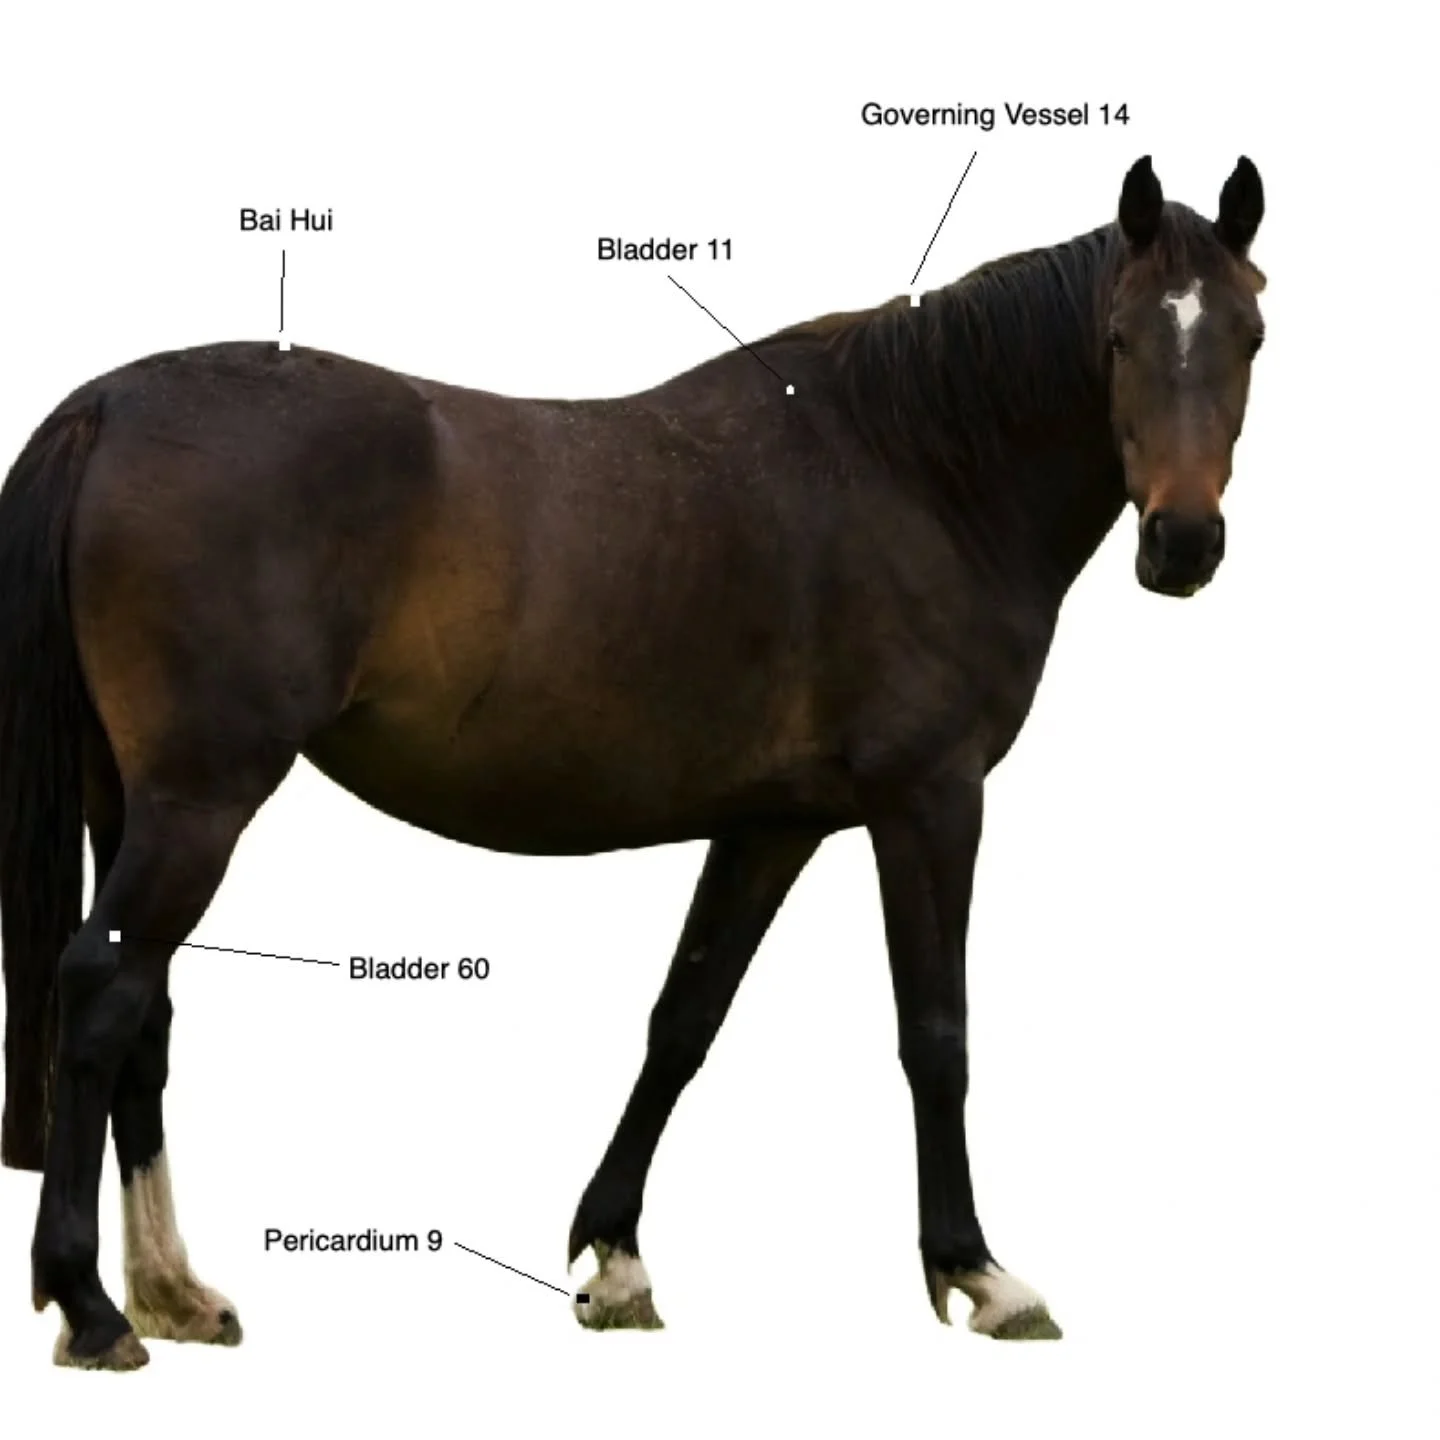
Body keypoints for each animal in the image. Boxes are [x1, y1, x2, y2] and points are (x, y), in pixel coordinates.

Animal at [0, 155, 1266, 1370]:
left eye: (1250, 334)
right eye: (1120, 338)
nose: (1184, 543)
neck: (921, 465)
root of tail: (110, 405)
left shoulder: (772, 823)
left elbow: (684, 1019)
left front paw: (614, 1258)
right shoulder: (930, 801)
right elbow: (935, 1035)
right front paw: (979, 1273)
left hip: (136, 801)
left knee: (146, 1015)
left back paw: (172, 1292)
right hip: (200, 801)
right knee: (102, 992)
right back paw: (93, 1308)